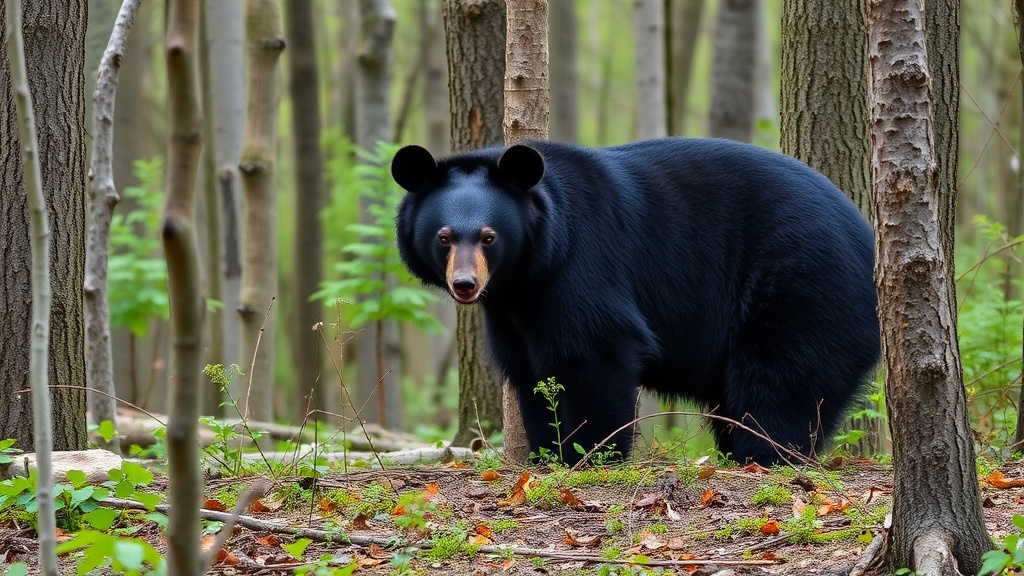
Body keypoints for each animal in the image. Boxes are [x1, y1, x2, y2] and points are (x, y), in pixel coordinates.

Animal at [392, 138, 880, 465]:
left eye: (489, 237)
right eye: (444, 236)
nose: (465, 284)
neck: (529, 272)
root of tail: (867, 237)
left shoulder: (584, 267)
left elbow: (599, 353)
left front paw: (590, 454)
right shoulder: (514, 313)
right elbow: (530, 374)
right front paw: (545, 453)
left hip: (804, 283)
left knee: (781, 378)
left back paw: (763, 454)